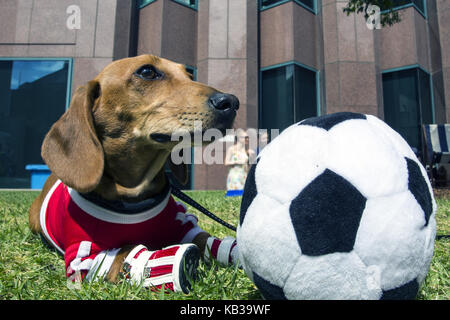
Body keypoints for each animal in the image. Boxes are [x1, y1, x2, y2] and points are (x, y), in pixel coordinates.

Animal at [28, 55, 239, 292]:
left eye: (189, 75)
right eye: (147, 72)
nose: (231, 102)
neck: (135, 194)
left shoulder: (183, 223)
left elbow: (207, 240)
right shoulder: (83, 258)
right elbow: (126, 250)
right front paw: (167, 264)